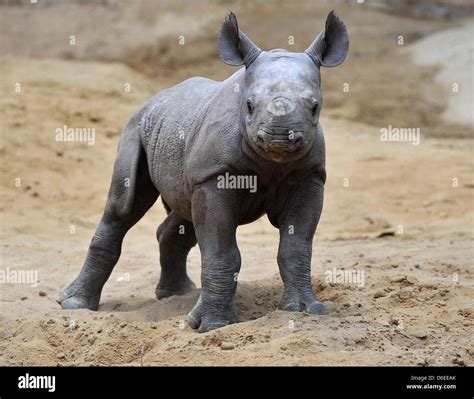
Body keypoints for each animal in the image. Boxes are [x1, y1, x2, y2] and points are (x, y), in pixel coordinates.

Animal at [58, 10, 348, 332]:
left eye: (315, 107)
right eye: (249, 105)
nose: (279, 137)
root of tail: (155, 98)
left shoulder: (309, 176)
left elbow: (296, 247)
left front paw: (304, 309)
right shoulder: (213, 176)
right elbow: (222, 251)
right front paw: (212, 325)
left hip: (174, 133)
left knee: (182, 215)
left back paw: (175, 295)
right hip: (136, 127)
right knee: (123, 207)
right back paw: (74, 304)